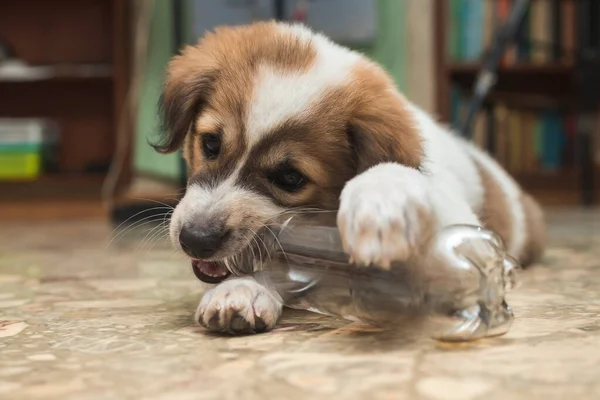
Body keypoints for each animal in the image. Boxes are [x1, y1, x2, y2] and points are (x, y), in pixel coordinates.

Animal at [154, 21, 544, 334]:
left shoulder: (460, 225)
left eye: (290, 178)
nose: (196, 240)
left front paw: (381, 201)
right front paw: (241, 289)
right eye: (210, 143)